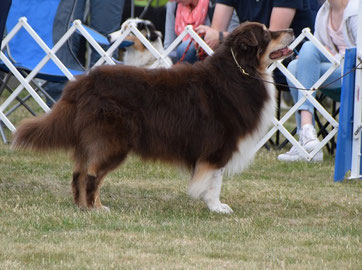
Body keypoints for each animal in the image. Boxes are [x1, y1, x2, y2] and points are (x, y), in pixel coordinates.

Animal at [12, 22, 294, 213]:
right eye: (267, 33)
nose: (291, 29)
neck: (241, 71)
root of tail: (83, 82)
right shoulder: (219, 145)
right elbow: (215, 180)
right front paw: (217, 206)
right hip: (113, 141)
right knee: (91, 174)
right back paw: (95, 209)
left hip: (92, 140)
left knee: (79, 173)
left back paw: (85, 207)